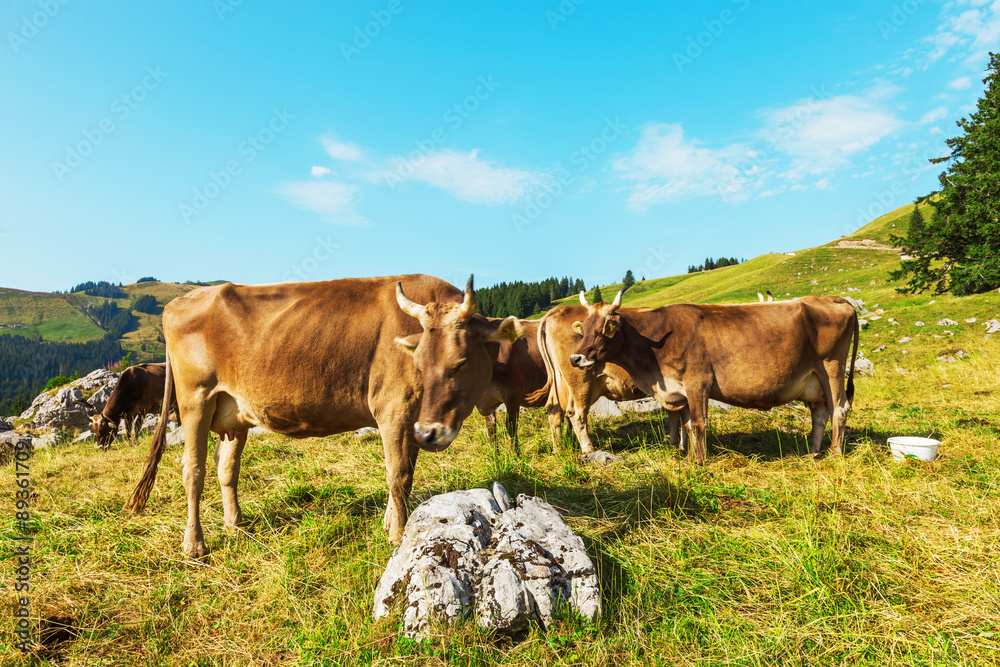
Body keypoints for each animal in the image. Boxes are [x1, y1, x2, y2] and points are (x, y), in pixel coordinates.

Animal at [127, 275, 517, 558]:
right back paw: (194, 544)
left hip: (233, 413)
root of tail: (179, 302)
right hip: (195, 399)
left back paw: (234, 524)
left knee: (227, 469)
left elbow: (403, 473)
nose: (431, 433)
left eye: (460, 363)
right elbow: (398, 475)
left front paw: (390, 522)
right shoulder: (394, 410)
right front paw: (398, 535)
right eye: (419, 363)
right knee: (193, 471)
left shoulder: (411, 420)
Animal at [526, 299, 686, 456]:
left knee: (554, 409)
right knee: (576, 413)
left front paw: (678, 445)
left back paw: (559, 449)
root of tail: (560, 309)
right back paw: (588, 448)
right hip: (580, 380)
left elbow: (678, 414)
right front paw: (683, 446)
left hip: (561, 382)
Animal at [569, 291, 859, 464]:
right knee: (820, 413)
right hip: (814, 379)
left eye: (601, 331)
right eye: (583, 330)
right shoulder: (680, 390)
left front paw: (699, 462)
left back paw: (834, 453)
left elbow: (699, 424)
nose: (575, 358)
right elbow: (687, 425)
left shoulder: (698, 383)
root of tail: (835, 299)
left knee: (840, 408)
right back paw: (812, 452)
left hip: (831, 367)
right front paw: (689, 459)